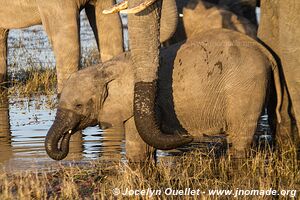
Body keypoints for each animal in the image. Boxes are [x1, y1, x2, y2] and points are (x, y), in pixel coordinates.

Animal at [45, 28, 282, 161]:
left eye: (78, 105)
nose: (65, 141)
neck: (105, 67)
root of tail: (263, 50)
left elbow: (138, 151)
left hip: (245, 86)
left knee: (240, 135)